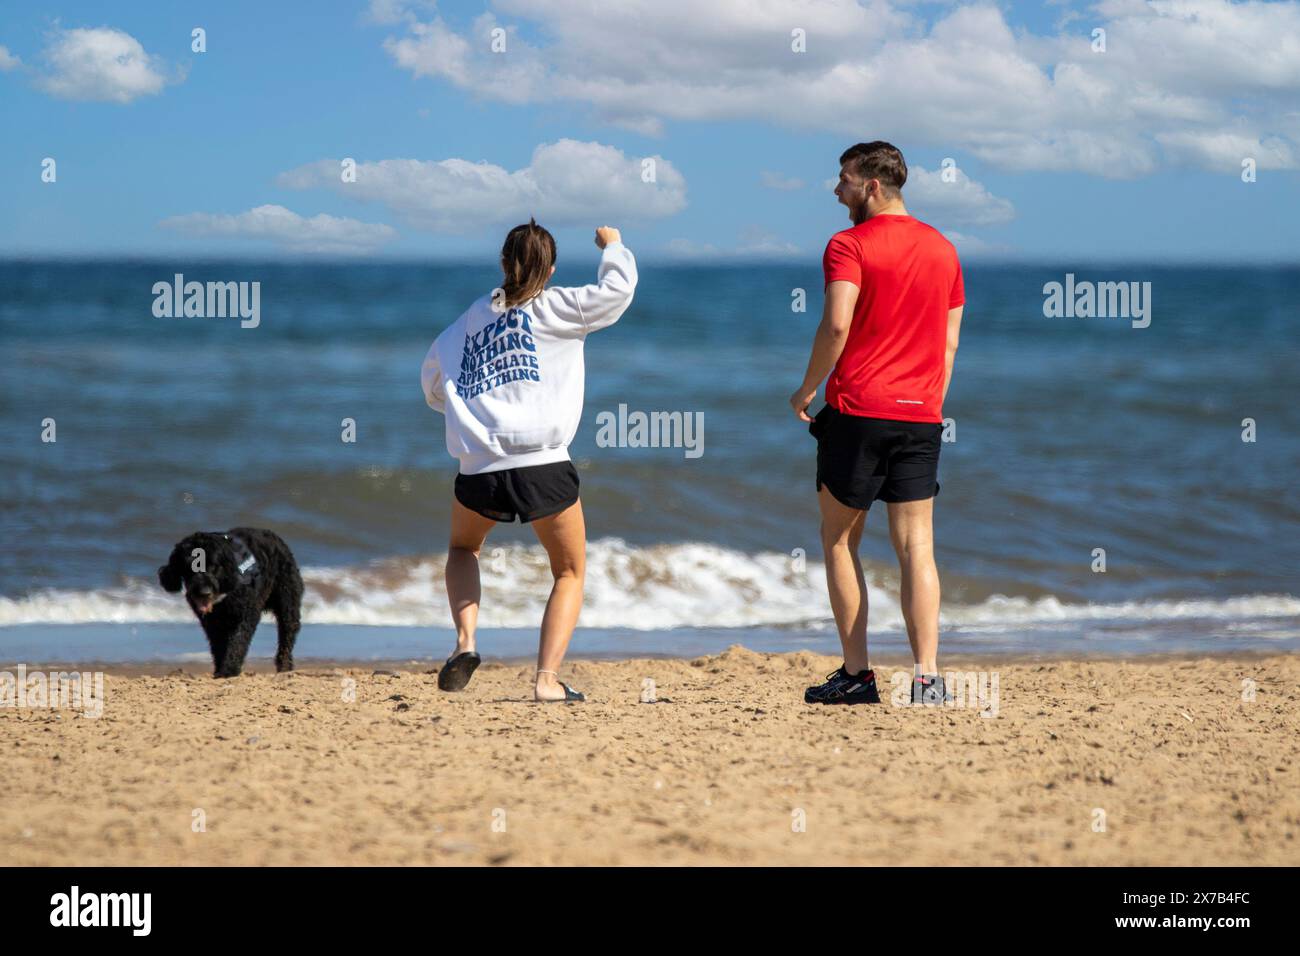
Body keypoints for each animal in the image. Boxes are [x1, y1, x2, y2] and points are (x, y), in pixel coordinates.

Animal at [157, 528, 301, 676]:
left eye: (213, 566)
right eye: (189, 566)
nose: (204, 592)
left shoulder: (245, 615)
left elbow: (237, 642)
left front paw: (229, 670)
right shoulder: (212, 623)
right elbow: (218, 646)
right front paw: (220, 669)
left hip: (287, 603)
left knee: (287, 634)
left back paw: (285, 667)